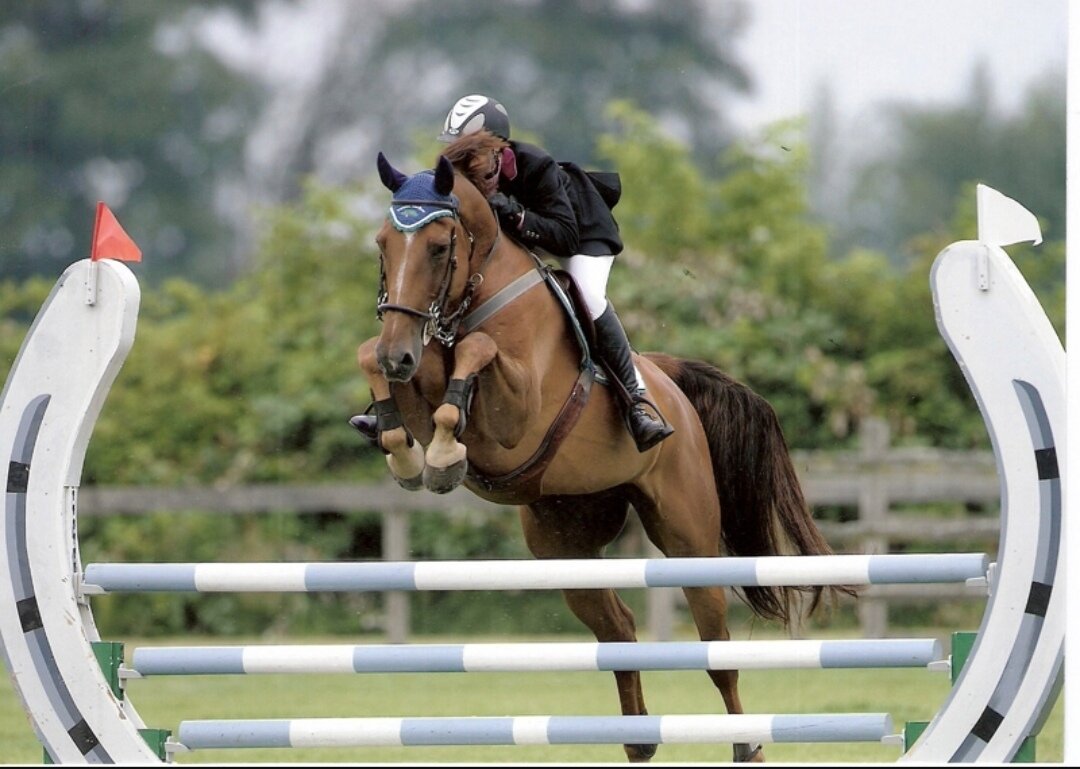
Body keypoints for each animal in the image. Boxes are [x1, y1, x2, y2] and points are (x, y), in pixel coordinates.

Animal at [358, 145, 846, 764]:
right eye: (382, 244)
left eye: (440, 247)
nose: (398, 353)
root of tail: (667, 381)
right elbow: (372, 359)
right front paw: (402, 449)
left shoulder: (515, 415)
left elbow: (477, 350)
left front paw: (442, 459)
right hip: (566, 547)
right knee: (618, 629)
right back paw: (638, 741)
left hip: (687, 538)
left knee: (717, 650)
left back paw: (746, 746)